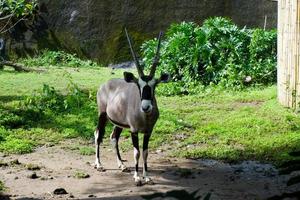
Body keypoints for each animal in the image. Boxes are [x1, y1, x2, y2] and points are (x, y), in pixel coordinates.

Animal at [94, 28, 169, 186]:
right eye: (138, 85)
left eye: (154, 85)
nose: (146, 107)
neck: (145, 117)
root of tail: (105, 84)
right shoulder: (134, 131)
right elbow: (137, 152)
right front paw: (137, 178)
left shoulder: (148, 132)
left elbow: (145, 152)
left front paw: (147, 177)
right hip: (102, 114)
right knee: (98, 134)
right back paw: (99, 164)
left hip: (118, 123)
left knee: (113, 137)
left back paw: (121, 166)